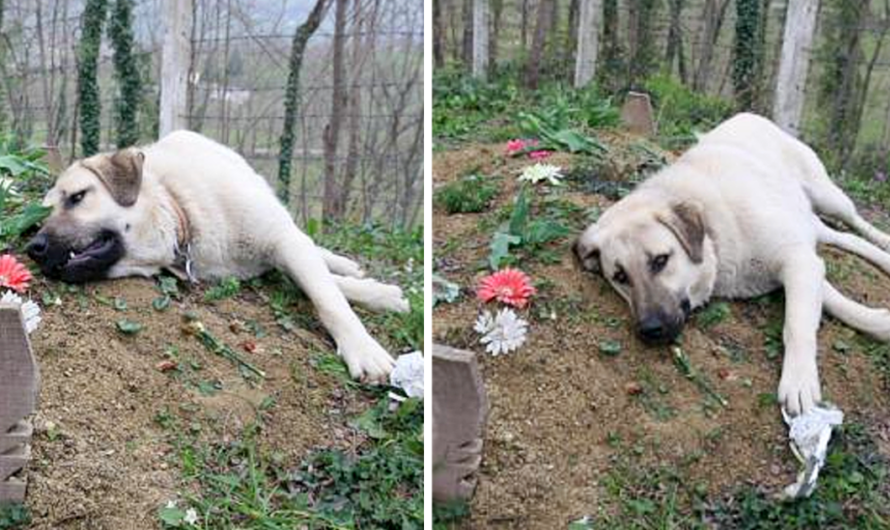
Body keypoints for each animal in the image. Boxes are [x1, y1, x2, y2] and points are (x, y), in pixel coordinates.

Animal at [26, 130, 410, 382]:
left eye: (77, 197)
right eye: (42, 217)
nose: (34, 248)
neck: (181, 211)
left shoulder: (282, 242)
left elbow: (328, 296)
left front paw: (364, 346)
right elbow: (323, 286)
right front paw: (379, 295)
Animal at [576, 113, 890, 414]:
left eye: (660, 260)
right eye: (620, 277)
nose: (650, 330)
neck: (713, 230)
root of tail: (748, 115)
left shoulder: (797, 259)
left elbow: (797, 323)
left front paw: (799, 380)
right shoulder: (800, 259)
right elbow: (831, 300)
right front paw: (878, 321)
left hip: (828, 197)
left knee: (857, 222)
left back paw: (884, 244)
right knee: (845, 238)